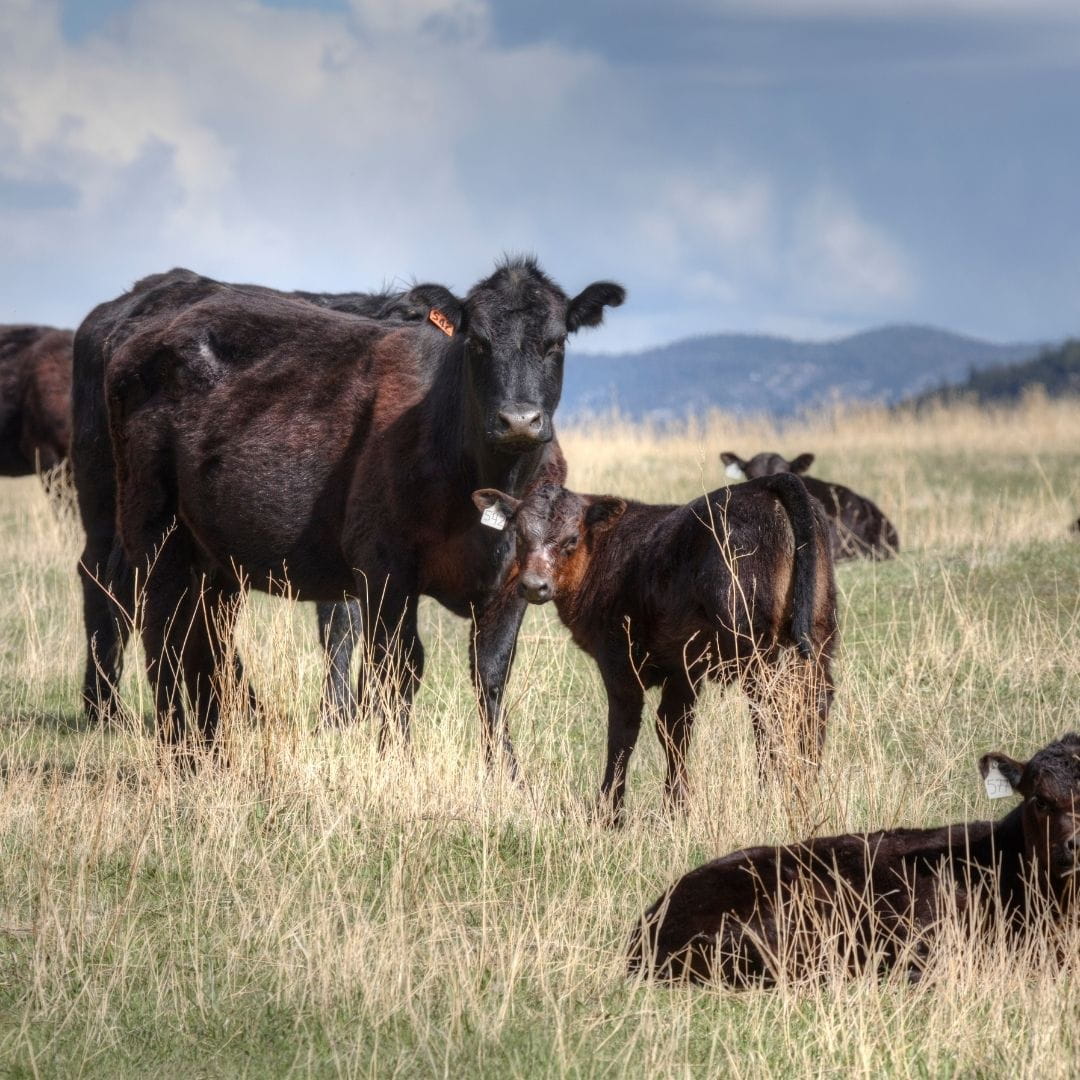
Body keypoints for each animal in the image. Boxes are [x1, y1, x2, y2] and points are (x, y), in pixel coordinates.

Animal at [471, 473, 837, 820]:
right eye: (519, 536)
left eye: (571, 539)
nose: (534, 586)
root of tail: (766, 484)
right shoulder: (683, 667)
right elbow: (674, 728)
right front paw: (675, 808)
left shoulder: (619, 659)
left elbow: (623, 731)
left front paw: (609, 814)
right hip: (818, 633)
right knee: (814, 701)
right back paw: (806, 787)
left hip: (754, 643)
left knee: (771, 709)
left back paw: (771, 794)